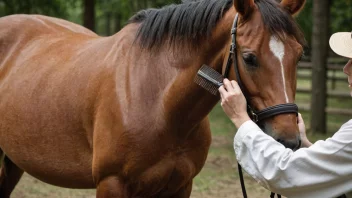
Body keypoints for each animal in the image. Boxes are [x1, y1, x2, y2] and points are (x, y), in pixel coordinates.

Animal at [0, 0, 306, 197]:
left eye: (299, 53)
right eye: (249, 58)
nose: (288, 139)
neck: (159, 101)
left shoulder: (180, 185)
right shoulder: (111, 184)